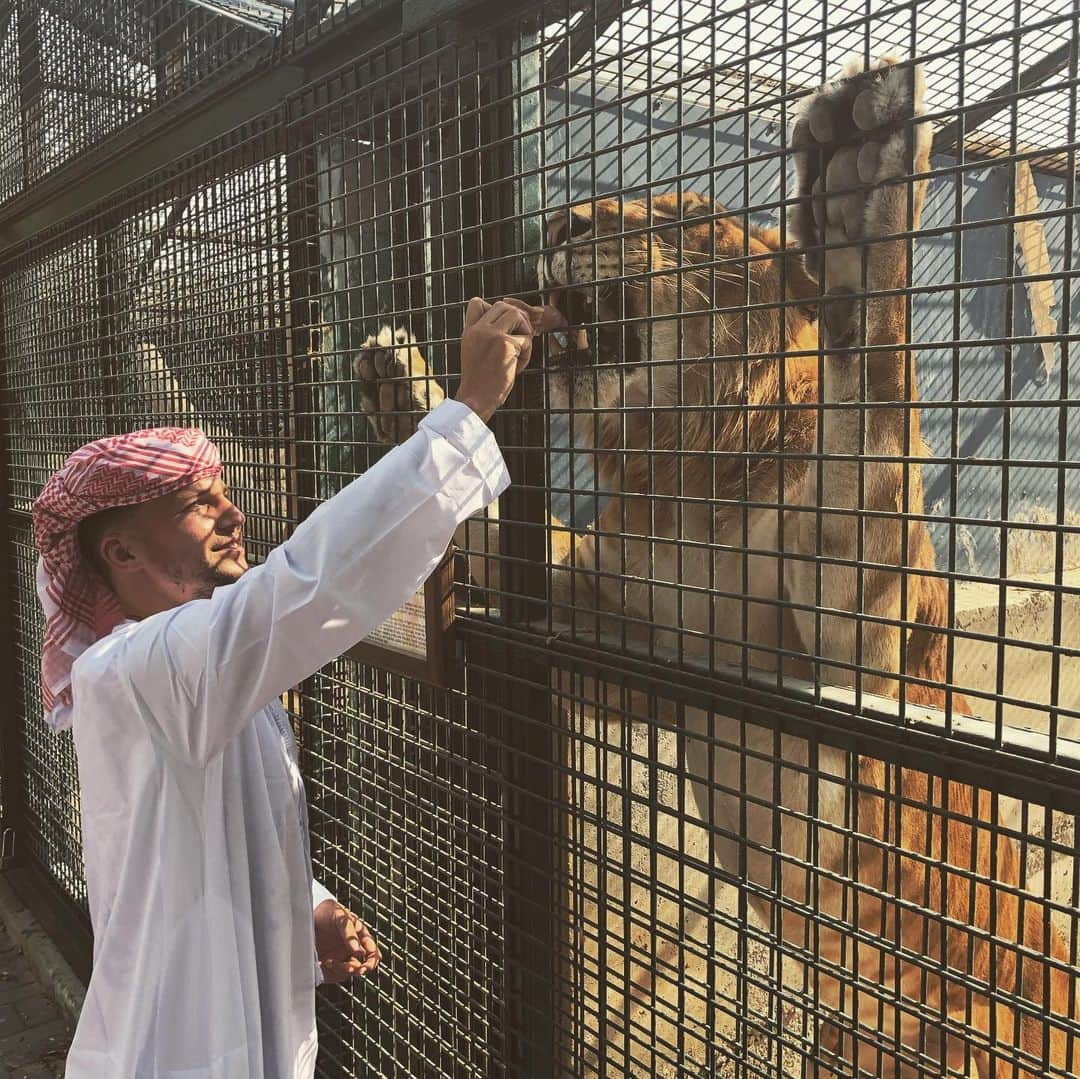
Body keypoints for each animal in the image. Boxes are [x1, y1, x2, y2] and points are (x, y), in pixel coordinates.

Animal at [352, 59, 1071, 1079]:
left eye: (687, 220)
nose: (563, 225)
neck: (685, 489)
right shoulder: (613, 636)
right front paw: (402, 381)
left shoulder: (858, 664)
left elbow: (872, 425)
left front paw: (862, 193)